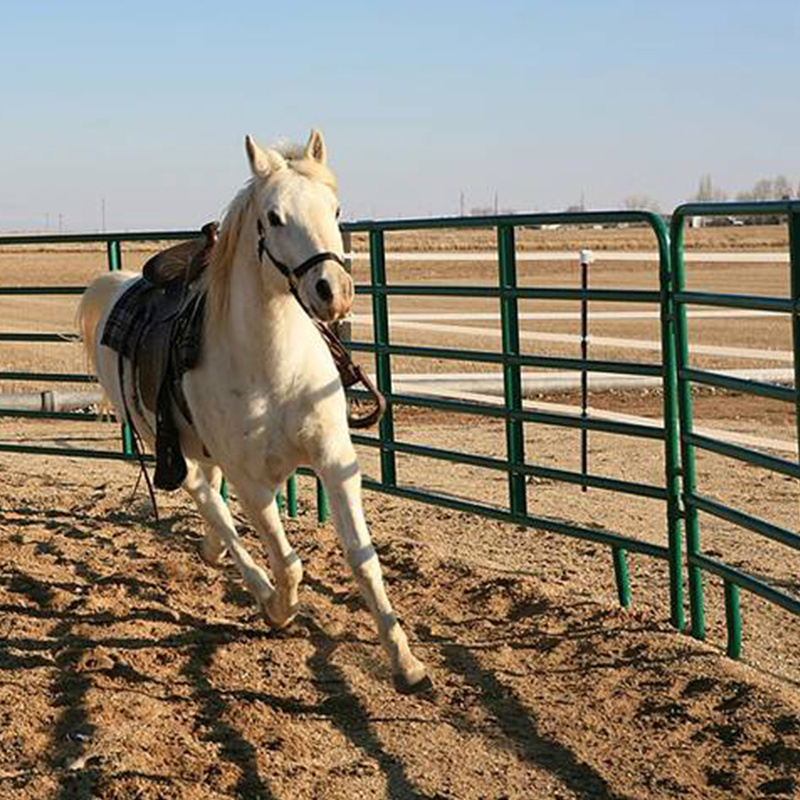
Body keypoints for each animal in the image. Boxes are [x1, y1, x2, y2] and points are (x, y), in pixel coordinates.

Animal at [79, 131, 432, 692]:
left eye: (335, 208)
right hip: (172, 451)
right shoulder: (253, 482)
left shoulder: (335, 462)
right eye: (274, 217)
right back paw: (254, 583)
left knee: (214, 506)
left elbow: (363, 559)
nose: (333, 292)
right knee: (213, 506)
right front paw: (280, 609)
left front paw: (406, 662)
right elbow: (288, 564)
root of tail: (120, 286)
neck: (274, 366)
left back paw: (213, 551)